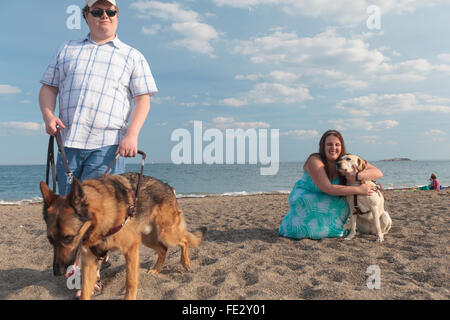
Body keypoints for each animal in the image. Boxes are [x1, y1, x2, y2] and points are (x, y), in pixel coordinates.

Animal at [39, 172, 207, 300]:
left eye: (69, 238)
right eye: (50, 239)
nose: (58, 272)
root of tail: (167, 186)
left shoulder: (131, 248)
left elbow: (130, 282)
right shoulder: (90, 260)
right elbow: (85, 290)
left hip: (166, 233)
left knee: (184, 241)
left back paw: (185, 262)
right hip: (147, 237)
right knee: (163, 249)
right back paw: (156, 269)